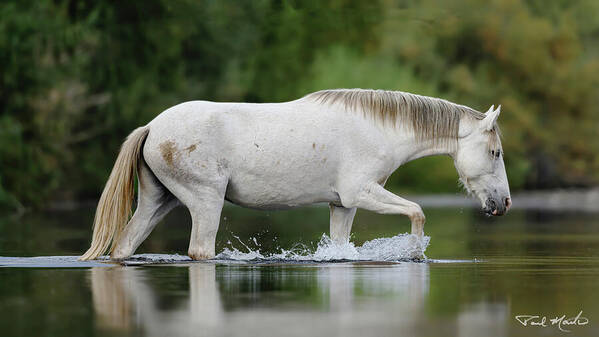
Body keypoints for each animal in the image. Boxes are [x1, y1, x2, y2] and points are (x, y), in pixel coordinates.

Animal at [78, 87, 510, 260]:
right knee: (200, 250)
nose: (503, 203)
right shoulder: (361, 193)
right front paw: (414, 253)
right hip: (205, 201)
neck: (377, 128)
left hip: (158, 201)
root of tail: (152, 127)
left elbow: (340, 247)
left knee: (124, 246)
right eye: (495, 152)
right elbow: (417, 212)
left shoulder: (343, 206)